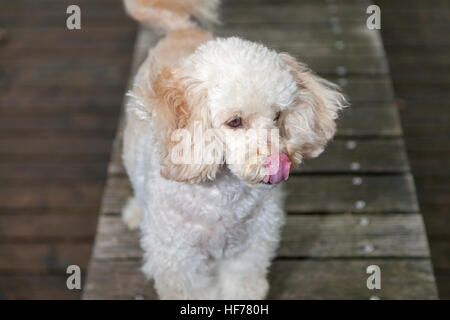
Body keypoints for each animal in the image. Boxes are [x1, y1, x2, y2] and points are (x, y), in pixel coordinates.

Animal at [121, 0, 346, 300]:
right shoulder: (179, 261)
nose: (280, 161)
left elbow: (241, 284)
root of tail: (182, 27)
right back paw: (136, 212)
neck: (223, 197)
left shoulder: (251, 248)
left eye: (277, 116)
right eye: (235, 122)